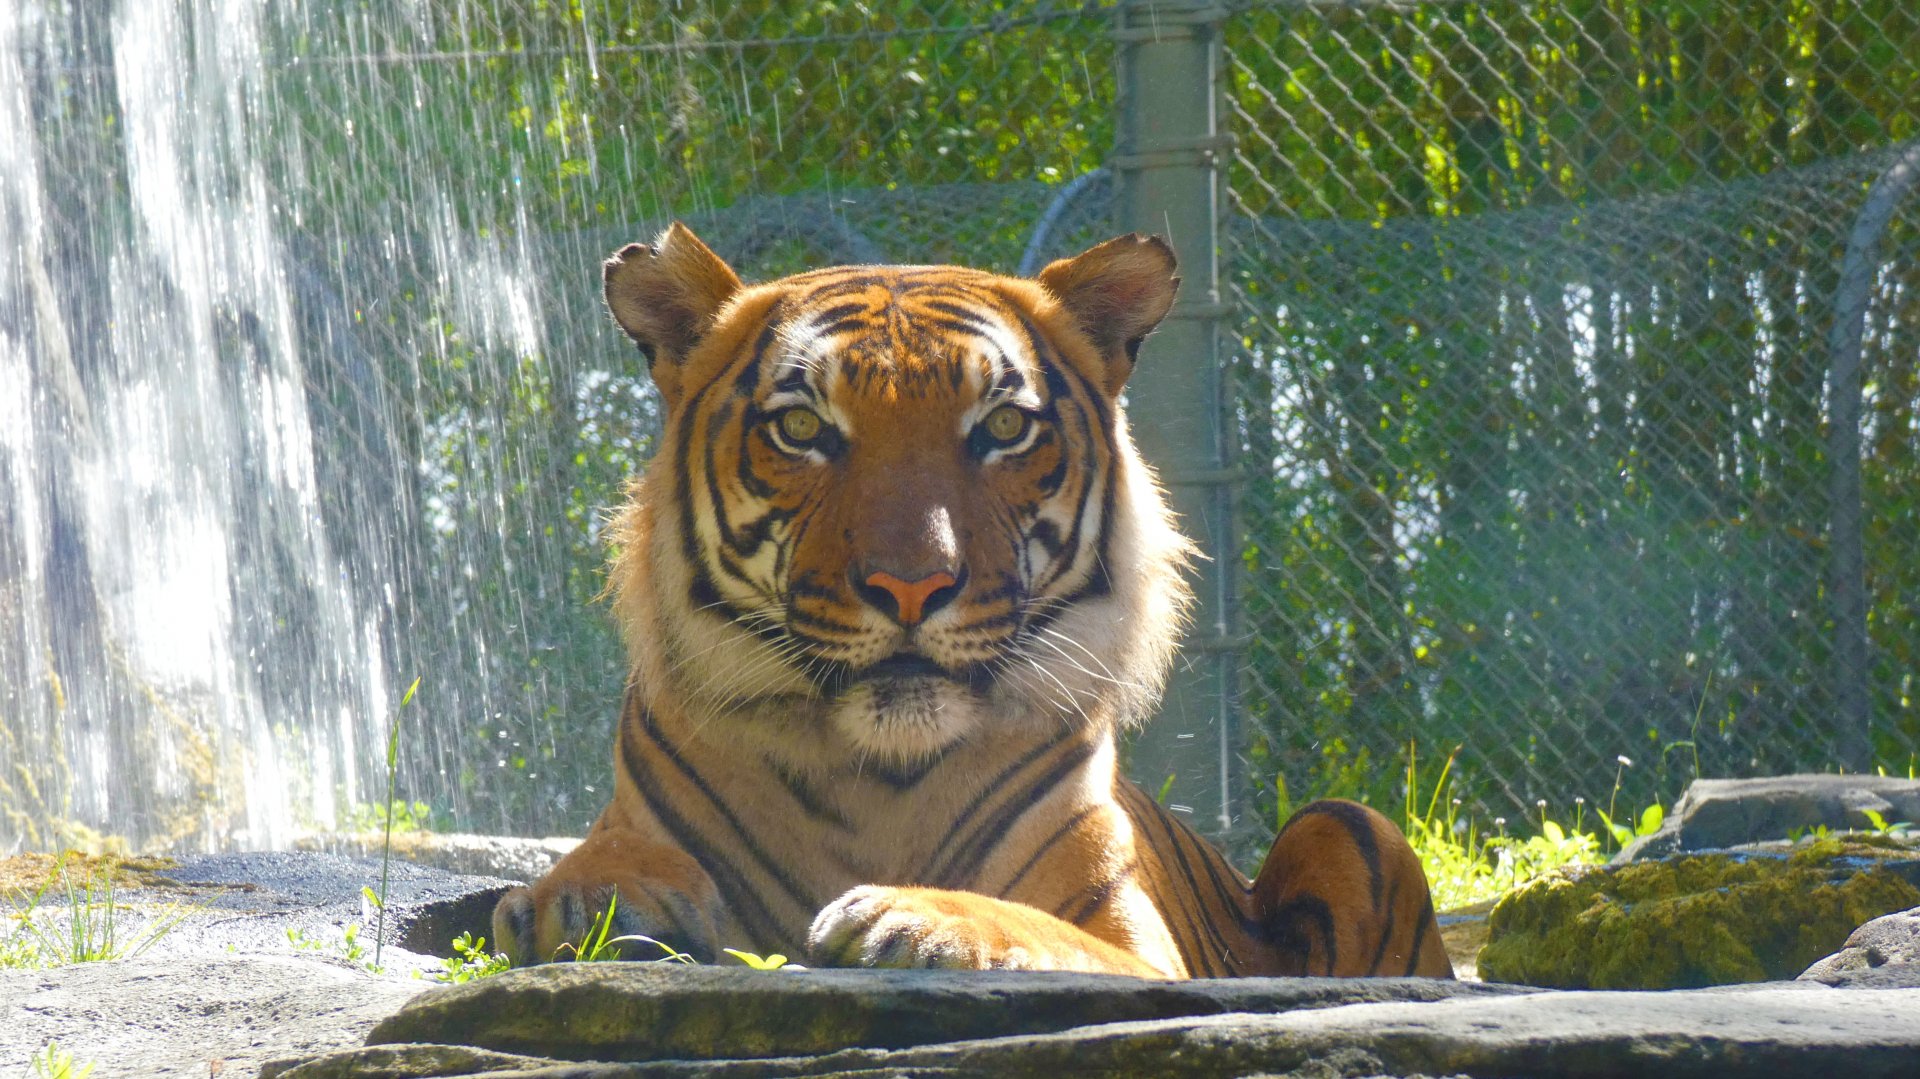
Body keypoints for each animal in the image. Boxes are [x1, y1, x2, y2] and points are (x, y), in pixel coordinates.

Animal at [490, 223, 1453, 980]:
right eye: (802, 428)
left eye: (1003, 427)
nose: (912, 584)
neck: (875, 781)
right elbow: (598, 866)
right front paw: (578, 901)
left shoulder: (1137, 949)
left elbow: (1031, 923)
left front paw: (913, 912)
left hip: (1350, 820)